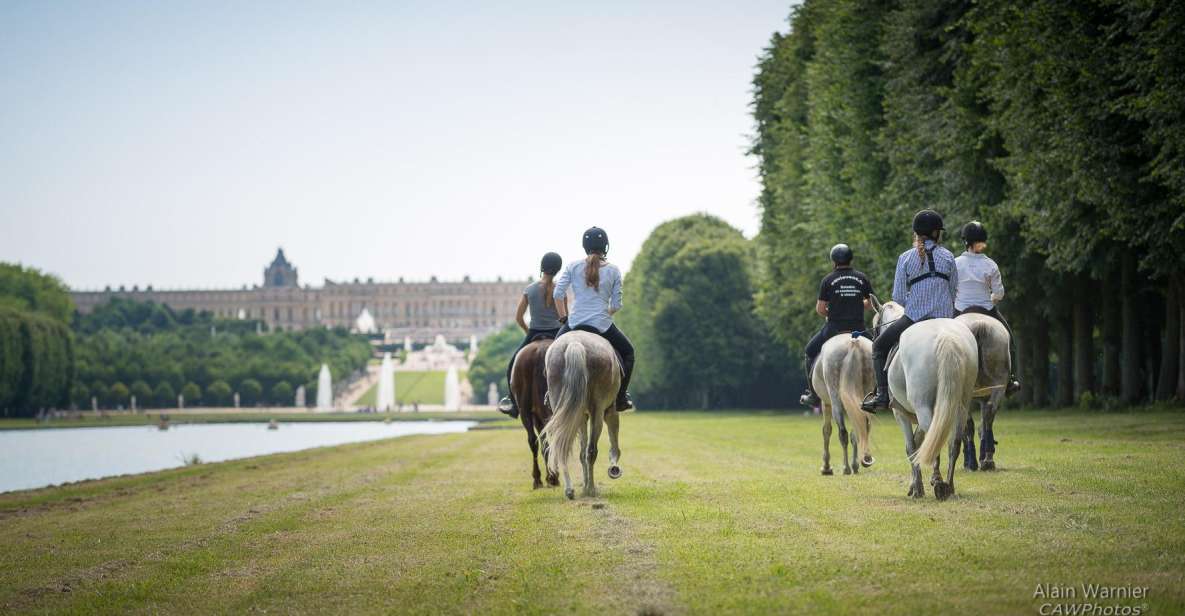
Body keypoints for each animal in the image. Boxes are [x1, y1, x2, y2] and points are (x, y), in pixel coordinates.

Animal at [542, 331, 625, 499]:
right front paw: (613, 467)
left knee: (562, 446)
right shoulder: (609, 410)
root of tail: (575, 344)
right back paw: (591, 489)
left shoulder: (580, 416)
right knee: (591, 451)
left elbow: (581, 453)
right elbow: (612, 440)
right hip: (597, 411)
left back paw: (570, 490)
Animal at [810, 334, 876, 473]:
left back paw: (846, 468)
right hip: (866, 396)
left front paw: (826, 467)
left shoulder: (826, 403)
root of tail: (854, 343)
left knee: (842, 433)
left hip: (835, 399)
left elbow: (826, 430)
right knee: (861, 430)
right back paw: (861, 462)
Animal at [876, 302, 976, 499]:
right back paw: (949, 485)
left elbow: (911, 447)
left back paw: (938, 483)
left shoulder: (900, 413)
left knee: (935, 439)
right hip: (960, 406)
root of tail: (946, 336)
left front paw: (917, 488)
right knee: (953, 443)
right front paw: (915, 484)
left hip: (922, 407)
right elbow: (918, 444)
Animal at [952, 312, 1009, 471]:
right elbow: (982, 423)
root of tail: (980, 326)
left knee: (969, 424)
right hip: (999, 384)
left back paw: (972, 461)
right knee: (989, 413)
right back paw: (988, 459)